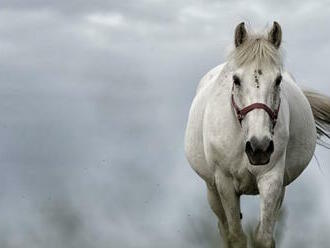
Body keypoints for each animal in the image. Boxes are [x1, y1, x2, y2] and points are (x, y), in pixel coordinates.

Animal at [184, 21, 330, 248]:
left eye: (278, 80)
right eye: (236, 80)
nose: (258, 147)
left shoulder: (272, 179)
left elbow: (263, 237)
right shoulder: (224, 183)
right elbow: (235, 237)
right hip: (212, 190)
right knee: (223, 228)